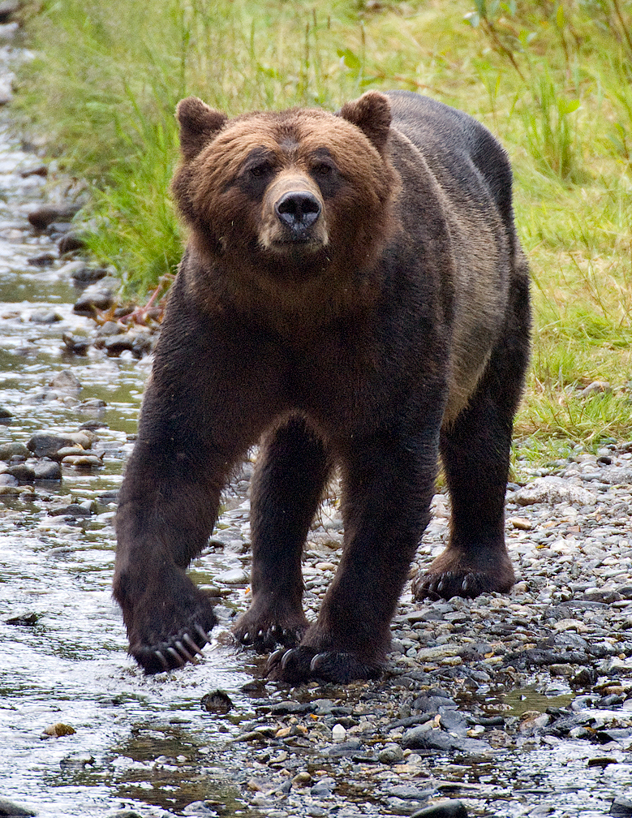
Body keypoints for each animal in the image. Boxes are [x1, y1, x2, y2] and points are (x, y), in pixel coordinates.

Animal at [113, 89, 530, 684]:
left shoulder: (388, 324)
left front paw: (329, 651)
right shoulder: (223, 322)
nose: (297, 208)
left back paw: (464, 570)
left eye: (326, 167)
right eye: (256, 168)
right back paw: (266, 619)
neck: (299, 299)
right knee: (285, 474)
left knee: (481, 427)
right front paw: (171, 631)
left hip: (494, 300)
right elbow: (176, 452)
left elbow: (388, 468)